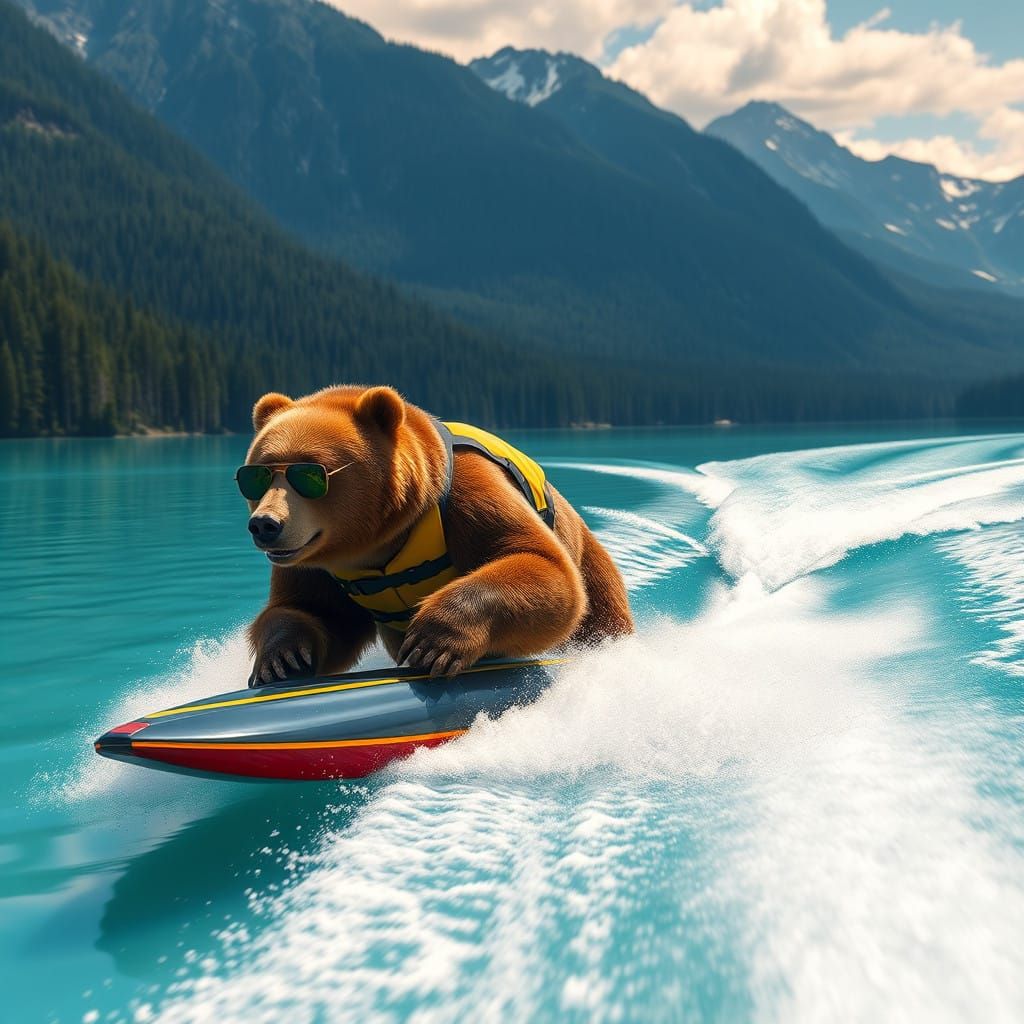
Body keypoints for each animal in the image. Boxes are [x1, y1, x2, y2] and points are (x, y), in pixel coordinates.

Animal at [240, 385, 633, 686]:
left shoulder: (468, 495)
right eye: (256, 474)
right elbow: (313, 610)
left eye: (309, 475)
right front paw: (282, 658)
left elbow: (541, 564)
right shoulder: (313, 558)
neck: (377, 541)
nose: (265, 525)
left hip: (590, 562)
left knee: (597, 613)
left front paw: (434, 642)